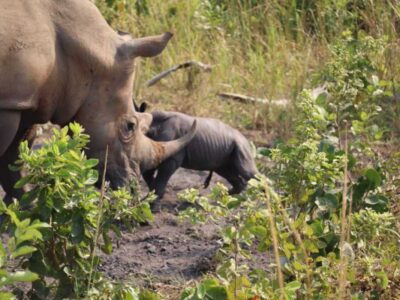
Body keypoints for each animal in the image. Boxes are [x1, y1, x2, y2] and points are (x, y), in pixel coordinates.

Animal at [0, 0, 197, 203]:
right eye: (130, 126)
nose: (132, 189)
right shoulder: (8, 103)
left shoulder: (25, 100)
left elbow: (15, 157)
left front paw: (24, 204)